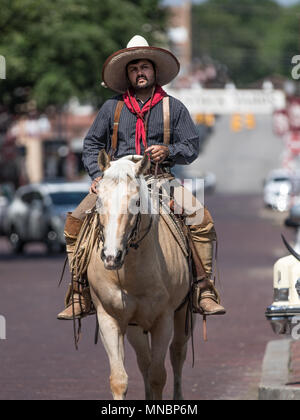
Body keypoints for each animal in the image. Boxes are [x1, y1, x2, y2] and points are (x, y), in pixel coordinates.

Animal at [87, 151, 195, 400]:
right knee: (144, 360)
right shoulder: (109, 317)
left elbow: (158, 376)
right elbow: (119, 379)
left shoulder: (163, 319)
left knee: (177, 353)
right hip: (136, 325)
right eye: (99, 201)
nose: (111, 256)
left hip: (183, 313)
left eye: (136, 202)